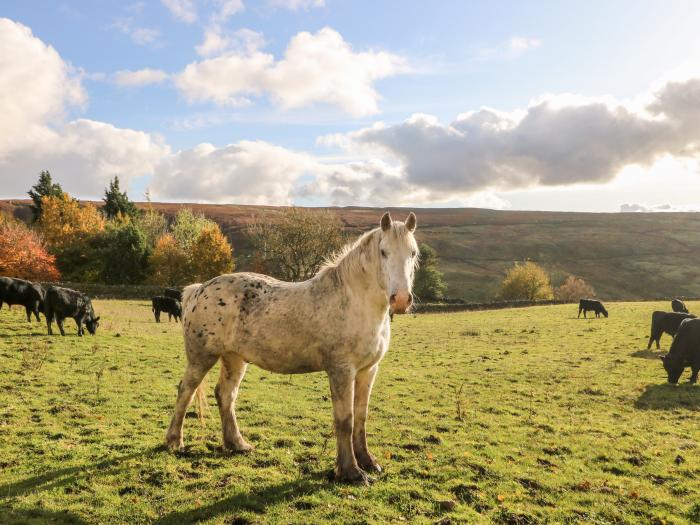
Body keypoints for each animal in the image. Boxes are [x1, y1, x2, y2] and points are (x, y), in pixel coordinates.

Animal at [165, 212, 416, 484]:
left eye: (413, 253)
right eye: (383, 252)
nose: (401, 299)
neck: (354, 301)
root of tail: (198, 290)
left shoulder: (368, 370)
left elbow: (361, 417)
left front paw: (368, 462)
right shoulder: (341, 370)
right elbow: (345, 421)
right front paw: (350, 471)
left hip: (234, 359)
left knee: (225, 395)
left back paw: (237, 444)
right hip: (201, 358)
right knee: (186, 391)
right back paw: (174, 442)